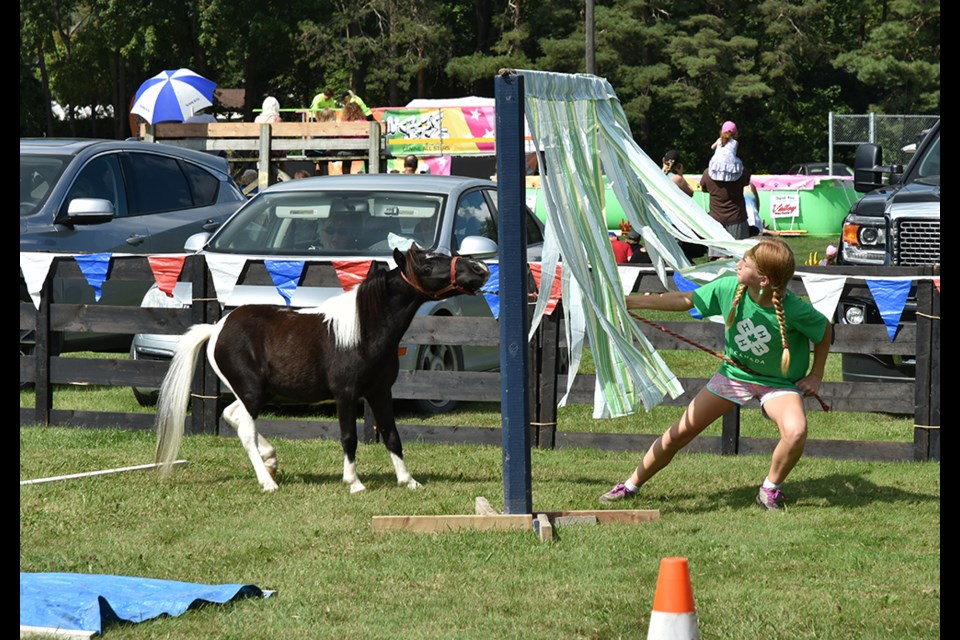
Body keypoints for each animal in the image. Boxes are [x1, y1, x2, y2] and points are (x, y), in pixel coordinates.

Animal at [158, 245, 492, 490]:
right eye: (425, 267)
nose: (480, 269)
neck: (363, 330)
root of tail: (216, 329)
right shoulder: (346, 394)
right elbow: (349, 437)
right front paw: (354, 483)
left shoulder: (380, 393)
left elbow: (392, 435)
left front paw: (408, 481)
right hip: (252, 393)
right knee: (245, 430)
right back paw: (267, 482)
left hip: (255, 393)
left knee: (233, 416)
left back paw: (271, 460)